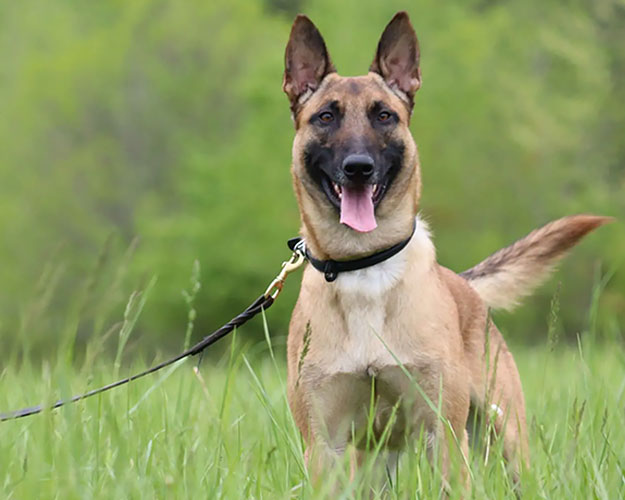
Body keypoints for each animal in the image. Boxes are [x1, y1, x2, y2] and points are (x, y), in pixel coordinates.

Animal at [280, 10, 608, 488]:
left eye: (384, 116)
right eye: (325, 116)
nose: (358, 167)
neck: (365, 266)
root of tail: (465, 285)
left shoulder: (444, 435)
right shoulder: (326, 445)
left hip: (504, 438)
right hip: (376, 460)